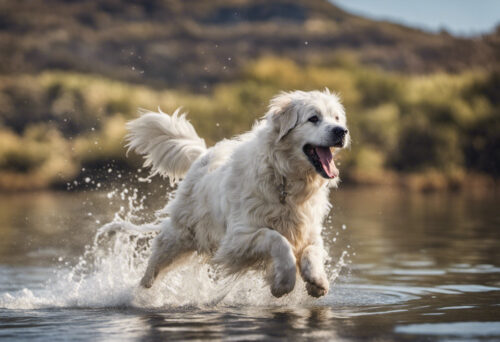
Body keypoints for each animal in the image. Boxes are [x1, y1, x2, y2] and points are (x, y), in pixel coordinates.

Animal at [126, 90, 348, 296]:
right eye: (313, 118)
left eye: (336, 118)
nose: (342, 131)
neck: (285, 178)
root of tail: (202, 155)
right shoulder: (236, 239)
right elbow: (276, 239)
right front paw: (283, 283)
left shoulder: (309, 231)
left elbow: (313, 250)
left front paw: (317, 281)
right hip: (181, 234)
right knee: (156, 260)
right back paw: (139, 291)